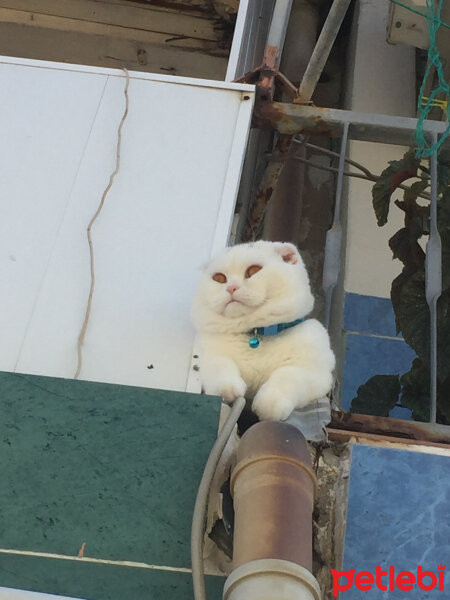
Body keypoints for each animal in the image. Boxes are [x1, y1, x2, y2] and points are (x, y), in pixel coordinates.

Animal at [192, 240, 336, 422]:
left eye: (253, 270)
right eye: (219, 278)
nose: (231, 288)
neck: (256, 334)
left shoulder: (317, 375)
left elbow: (288, 374)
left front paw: (269, 405)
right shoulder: (208, 356)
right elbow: (220, 364)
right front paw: (228, 389)